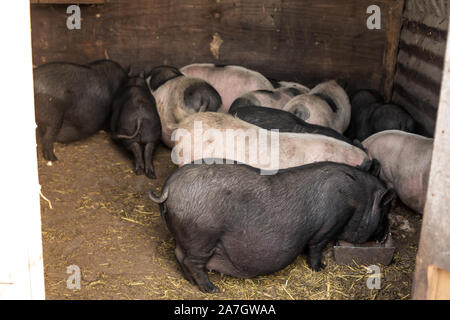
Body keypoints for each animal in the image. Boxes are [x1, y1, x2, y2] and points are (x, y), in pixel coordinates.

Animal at [149, 160, 396, 292]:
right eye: (386, 212)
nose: (385, 234)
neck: (359, 200)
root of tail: (168, 188)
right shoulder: (328, 227)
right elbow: (315, 248)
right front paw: (320, 268)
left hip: (188, 237)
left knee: (179, 254)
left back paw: (192, 282)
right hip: (203, 235)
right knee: (192, 261)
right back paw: (212, 289)